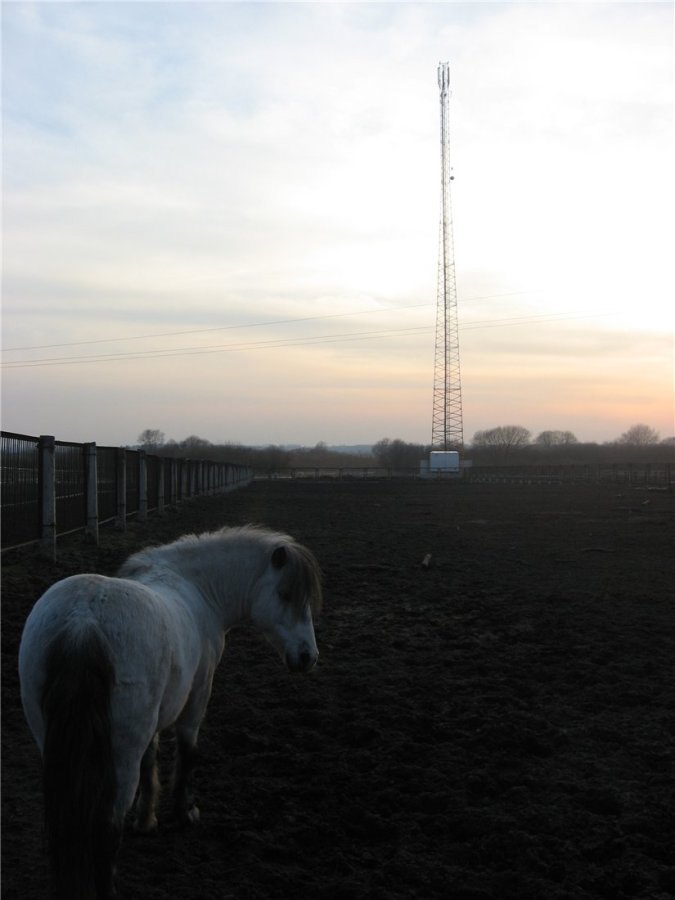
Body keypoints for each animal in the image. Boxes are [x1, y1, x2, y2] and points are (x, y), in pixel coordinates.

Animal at [20, 524, 324, 896]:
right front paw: (184, 812)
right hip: (120, 756)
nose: (308, 657)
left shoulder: (152, 721)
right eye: (285, 594)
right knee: (107, 829)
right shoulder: (199, 694)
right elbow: (188, 750)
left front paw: (146, 819)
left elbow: (151, 760)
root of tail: (83, 622)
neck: (196, 585)